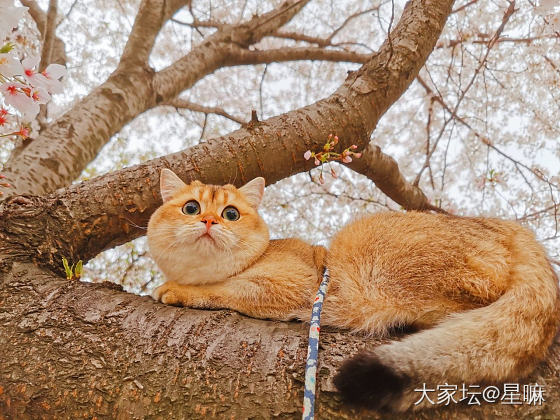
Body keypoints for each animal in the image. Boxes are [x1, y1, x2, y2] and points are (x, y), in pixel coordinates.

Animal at [148, 169, 560, 412]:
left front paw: (177, 288)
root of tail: (518, 232)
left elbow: (226, 288)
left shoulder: (295, 283)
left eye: (231, 214)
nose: (208, 221)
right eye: (190, 207)